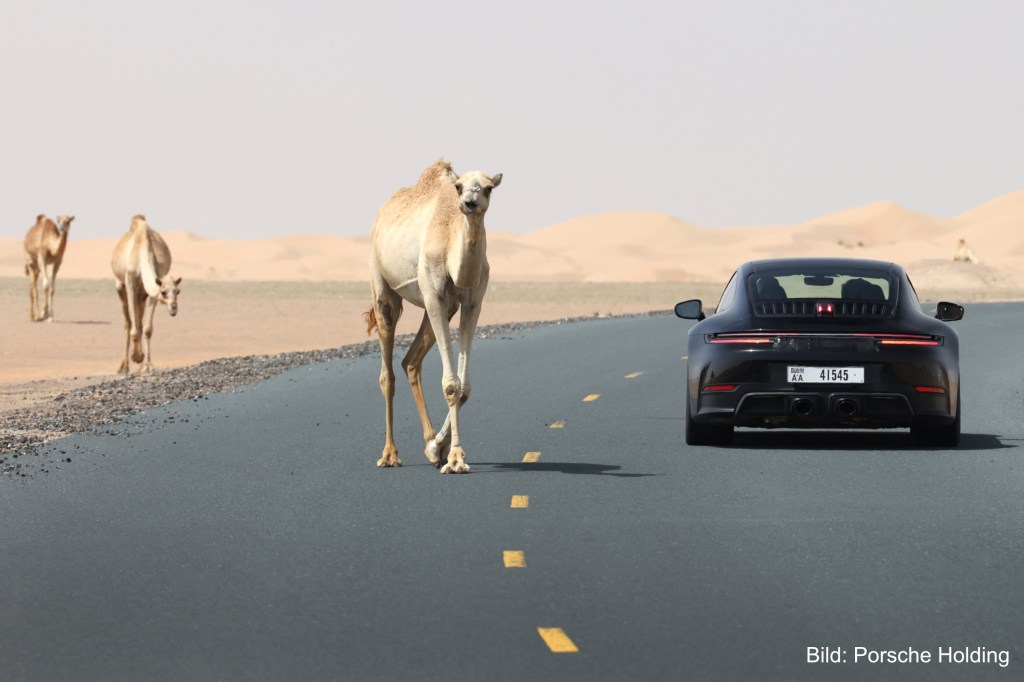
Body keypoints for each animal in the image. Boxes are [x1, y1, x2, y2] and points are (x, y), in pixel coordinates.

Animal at [110, 215, 182, 374]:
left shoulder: (151, 291)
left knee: (139, 322)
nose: (173, 308)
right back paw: (124, 367)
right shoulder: (130, 283)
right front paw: (136, 357)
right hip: (121, 287)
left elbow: (147, 328)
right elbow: (133, 327)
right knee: (128, 323)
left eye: (178, 291)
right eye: (164, 292)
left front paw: (147, 364)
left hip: (141, 295)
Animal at [367, 160, 502, 474]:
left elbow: (464, 388)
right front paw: (455, 460)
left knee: (410, 361)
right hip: (382, 284)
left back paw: (429, 441)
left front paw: (438, 448)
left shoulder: (472, 302)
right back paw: (389, 454)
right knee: (387, 373)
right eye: (459, 187)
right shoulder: (434, 295)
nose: (469, 203)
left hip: (442, 307)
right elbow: (451, 385)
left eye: (488, 188)